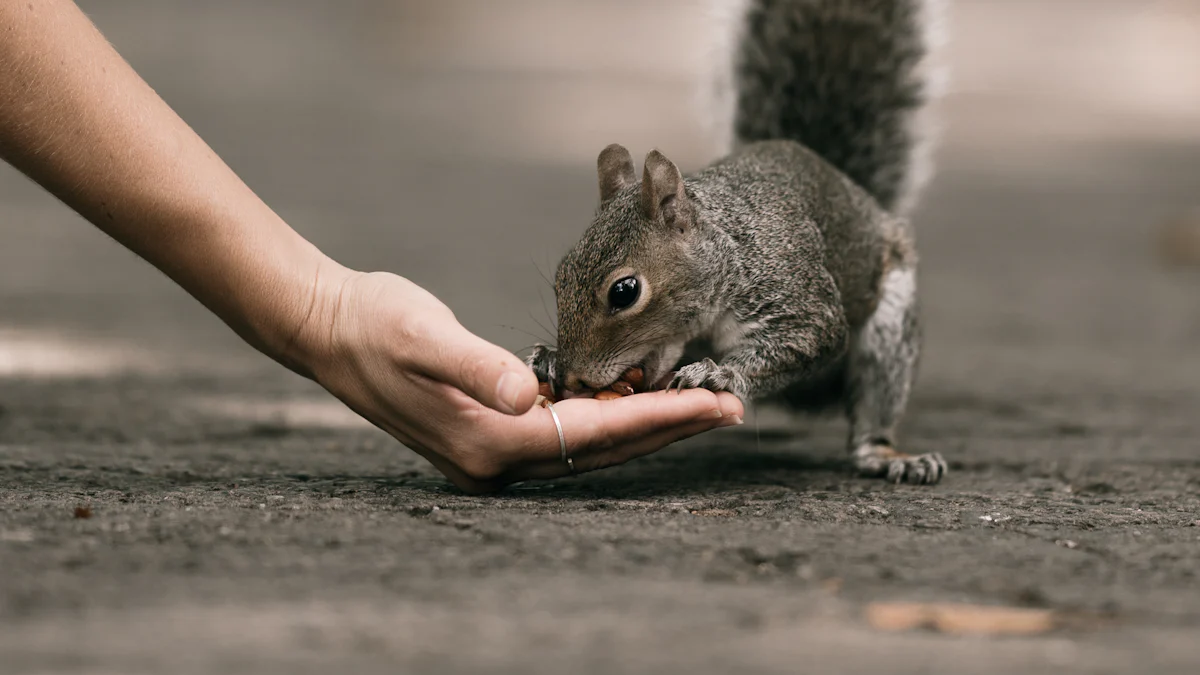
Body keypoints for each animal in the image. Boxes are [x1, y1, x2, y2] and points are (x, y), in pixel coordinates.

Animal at [525, 0, 945, 482]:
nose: (572, 379)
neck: (730, 253)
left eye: (624, 291)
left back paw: (890, 456)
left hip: (889, 327)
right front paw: (546, 358)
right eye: (560, 277)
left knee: (877, 400)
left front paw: (718, 376)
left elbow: (810, 338)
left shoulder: (795, 295)